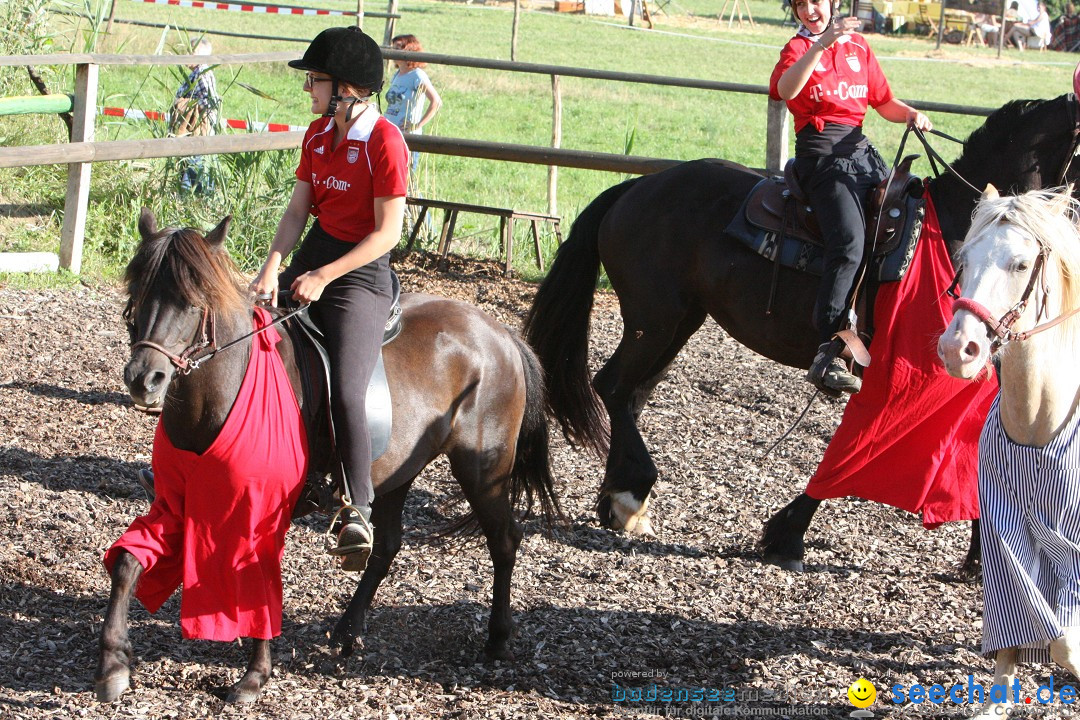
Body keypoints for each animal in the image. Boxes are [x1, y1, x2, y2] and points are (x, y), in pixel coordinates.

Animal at [96, 208, 561, 703]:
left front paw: (254, 677)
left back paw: (497, 639)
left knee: (504, 540)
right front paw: (113, 664)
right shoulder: (177, 501)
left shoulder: (261, 511)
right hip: (399, 470)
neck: (225, 386)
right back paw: (348, 628)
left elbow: (258, 587)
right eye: (137, 291)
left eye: (192, 301)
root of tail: (501, 334)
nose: (144, 378)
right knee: (387, 544)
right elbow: (127, 562)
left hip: (482, 469)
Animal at [522, 92, 1080, 569]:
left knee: (631, 395)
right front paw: (787, 535)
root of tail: (635, 188)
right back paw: (630, 491)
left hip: (676, 322)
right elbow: (859, 451)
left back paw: (618, 499)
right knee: (613, 386)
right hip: (653, 321)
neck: (955, 226)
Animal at [937, 187, 1080, 720]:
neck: (1038, 421)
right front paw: (997, 703)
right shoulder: (1005, 527)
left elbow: (1063, 636)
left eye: (1020, 264)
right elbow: (1026, 622)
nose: (958, 349)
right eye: (963, 259)